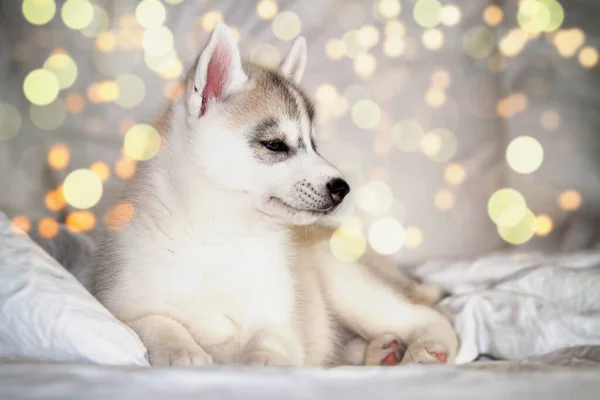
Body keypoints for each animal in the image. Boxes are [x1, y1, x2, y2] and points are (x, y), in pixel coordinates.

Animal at [92, 23, 460, 368]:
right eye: (275, 145)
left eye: (314, 144)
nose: (342, 188)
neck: (220, 236)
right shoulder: (122, 304)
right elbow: (153, 323)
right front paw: (181, 352)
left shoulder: (280, 323)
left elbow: (268, 345)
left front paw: (259, 363)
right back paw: (381, 352)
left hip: (351, 287)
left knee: (430, 317)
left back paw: (429, 348)